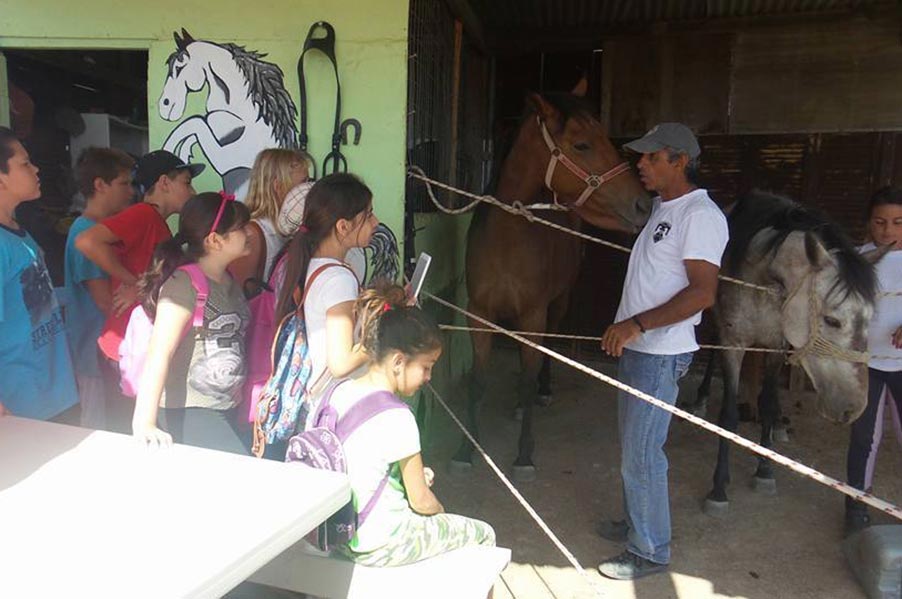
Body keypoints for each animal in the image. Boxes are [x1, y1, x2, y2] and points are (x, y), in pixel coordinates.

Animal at [456, 90, 652, 482]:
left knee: (545, 349)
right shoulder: (478, 315)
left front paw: (523, 454)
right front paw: (467, 449)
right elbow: (478, 381)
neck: (505, 243)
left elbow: (529, 374)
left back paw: (542, 392)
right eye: (582, 144)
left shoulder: (534, 314)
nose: (643, 204)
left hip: (559, 301)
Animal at [684, 193, 884, 516]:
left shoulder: (777, 345)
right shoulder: (733, 344)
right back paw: (701, 398)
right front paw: (718, 488)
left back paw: (778, 423)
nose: (853, 409)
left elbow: (767, 404)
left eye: (869, 319)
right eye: (832, 320)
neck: (762, 276)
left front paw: (765, 470)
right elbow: (728, 416)